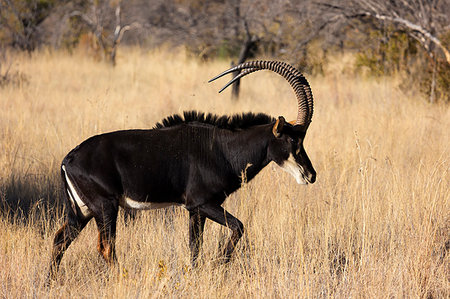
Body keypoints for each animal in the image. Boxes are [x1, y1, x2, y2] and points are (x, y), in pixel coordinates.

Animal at [47, 61, 316, 282]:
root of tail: (69, 158)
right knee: (105, 247)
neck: (223, 148)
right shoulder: (202, 203)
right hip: (105, 208)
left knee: (60, 240)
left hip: (82, 211)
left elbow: (194, 247)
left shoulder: (195, 210)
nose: (311, 175)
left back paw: (49, 282)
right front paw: (218, 265)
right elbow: (238, 226)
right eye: (294, 140)